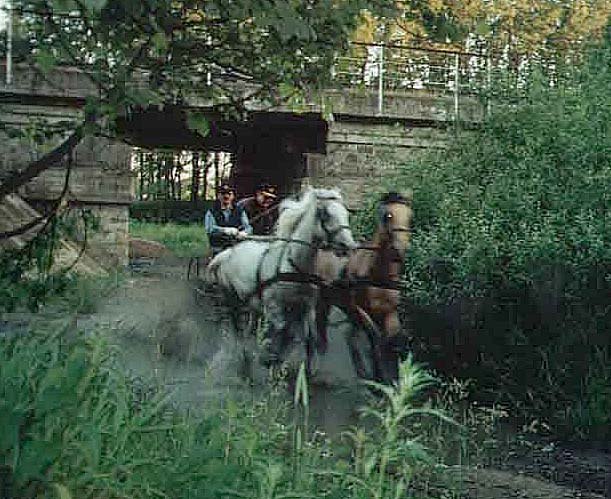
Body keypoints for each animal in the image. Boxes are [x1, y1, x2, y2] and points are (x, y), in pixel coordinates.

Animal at [208, 189, 356, 374]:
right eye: (325, 214)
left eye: (346, 213)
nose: (349, 246)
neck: (294, 265)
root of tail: (227, 252)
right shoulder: (275, 308)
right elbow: (282, 332)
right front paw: (271, 360)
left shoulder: (307, 307)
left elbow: (308, 337)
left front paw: (307, 369)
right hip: (232, 297)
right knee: (237, 326)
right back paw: (243, 354)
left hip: (252, 299)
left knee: (251, 321)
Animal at [316, 191, 412, 378]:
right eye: (388, 216)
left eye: (410, 216)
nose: (400, 251)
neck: (378, 278)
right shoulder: (361, 311)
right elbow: (375, 339)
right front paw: (378, 374)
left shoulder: (390, 313)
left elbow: (392, 340)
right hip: (325, 301)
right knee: (321, 325)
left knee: (349, 335)